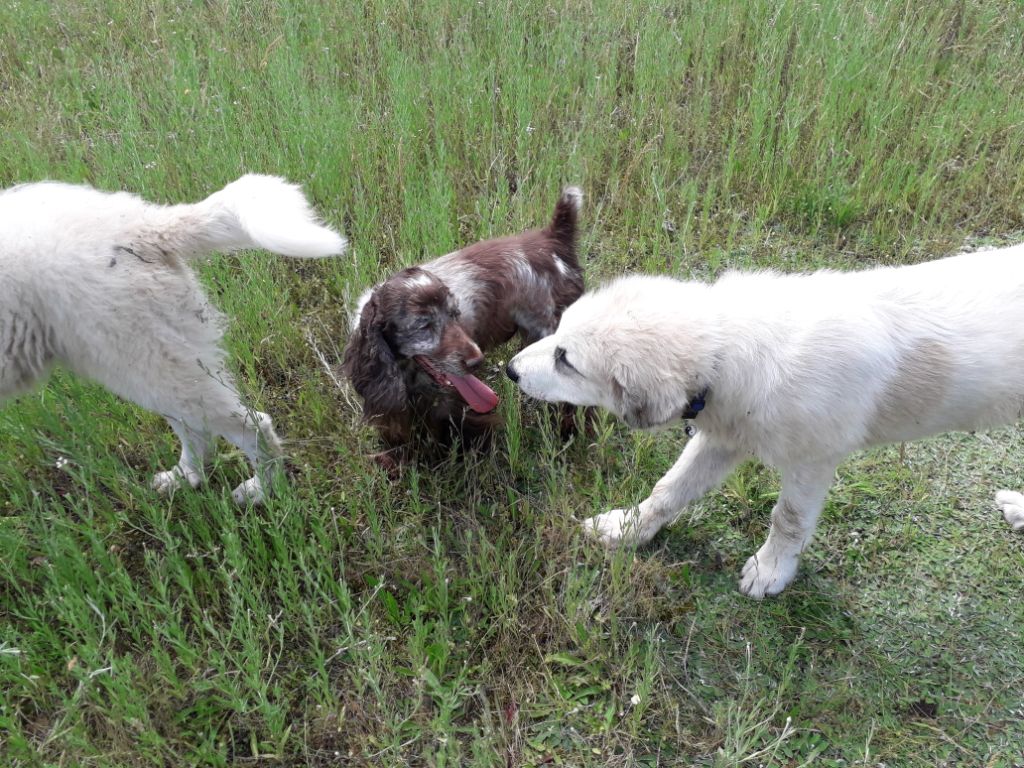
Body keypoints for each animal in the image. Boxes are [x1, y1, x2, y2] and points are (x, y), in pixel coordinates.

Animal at [0, 174, 346, 505]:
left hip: (141, 363)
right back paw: (184, 478)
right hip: (162, 365)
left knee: (250, 426)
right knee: (197, 430)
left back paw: (260, 492)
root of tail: (143, 226)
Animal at [507, 246, 1024, 602]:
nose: (510, 370)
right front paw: (628, 529)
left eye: (565, 360)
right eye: (557, 333)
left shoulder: (813, 458)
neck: (727, 344)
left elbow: (788, 519)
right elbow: (668, 489)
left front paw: (772, 571)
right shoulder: (723, 435)